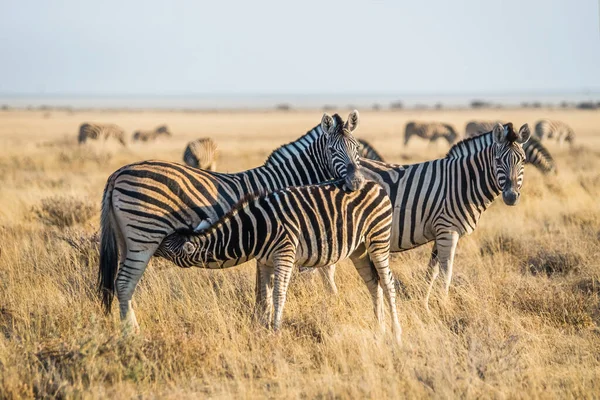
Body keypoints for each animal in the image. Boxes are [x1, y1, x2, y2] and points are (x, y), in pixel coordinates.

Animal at [97, 110, 366, 332]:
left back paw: (129, 329)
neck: (285, 182)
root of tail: (117, 173)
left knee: (123, 285)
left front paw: (259, 321)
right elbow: (266, 289)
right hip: (144, 235)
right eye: (332, 151)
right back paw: (132, 334)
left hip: (127, 239)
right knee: (124, 283)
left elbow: (263, 288)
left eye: (356, 150)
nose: (356, 183)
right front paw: (263, 322)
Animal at [157, 180, 400, 344]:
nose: (152, 245)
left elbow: (278, 294)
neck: (252, 230)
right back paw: (379, 328)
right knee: (373, 283)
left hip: (378, 239)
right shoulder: (265, 261)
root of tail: (376, 185)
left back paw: (396, 333)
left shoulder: (284, 254)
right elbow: (264, 297)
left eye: (164, 244)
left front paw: (275, 331)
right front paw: (261, 330)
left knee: (387, 283)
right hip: (359, 248)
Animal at [268, 122, 528, 310]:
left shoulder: (439, 232)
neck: (463, 181)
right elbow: (446, 273)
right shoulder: (448, 230)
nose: (511, 196)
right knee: (319, 269)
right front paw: (445, 306)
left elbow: (431, 272)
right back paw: (329, 303)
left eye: (523, 160)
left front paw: (425, 305)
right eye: (498, 160)